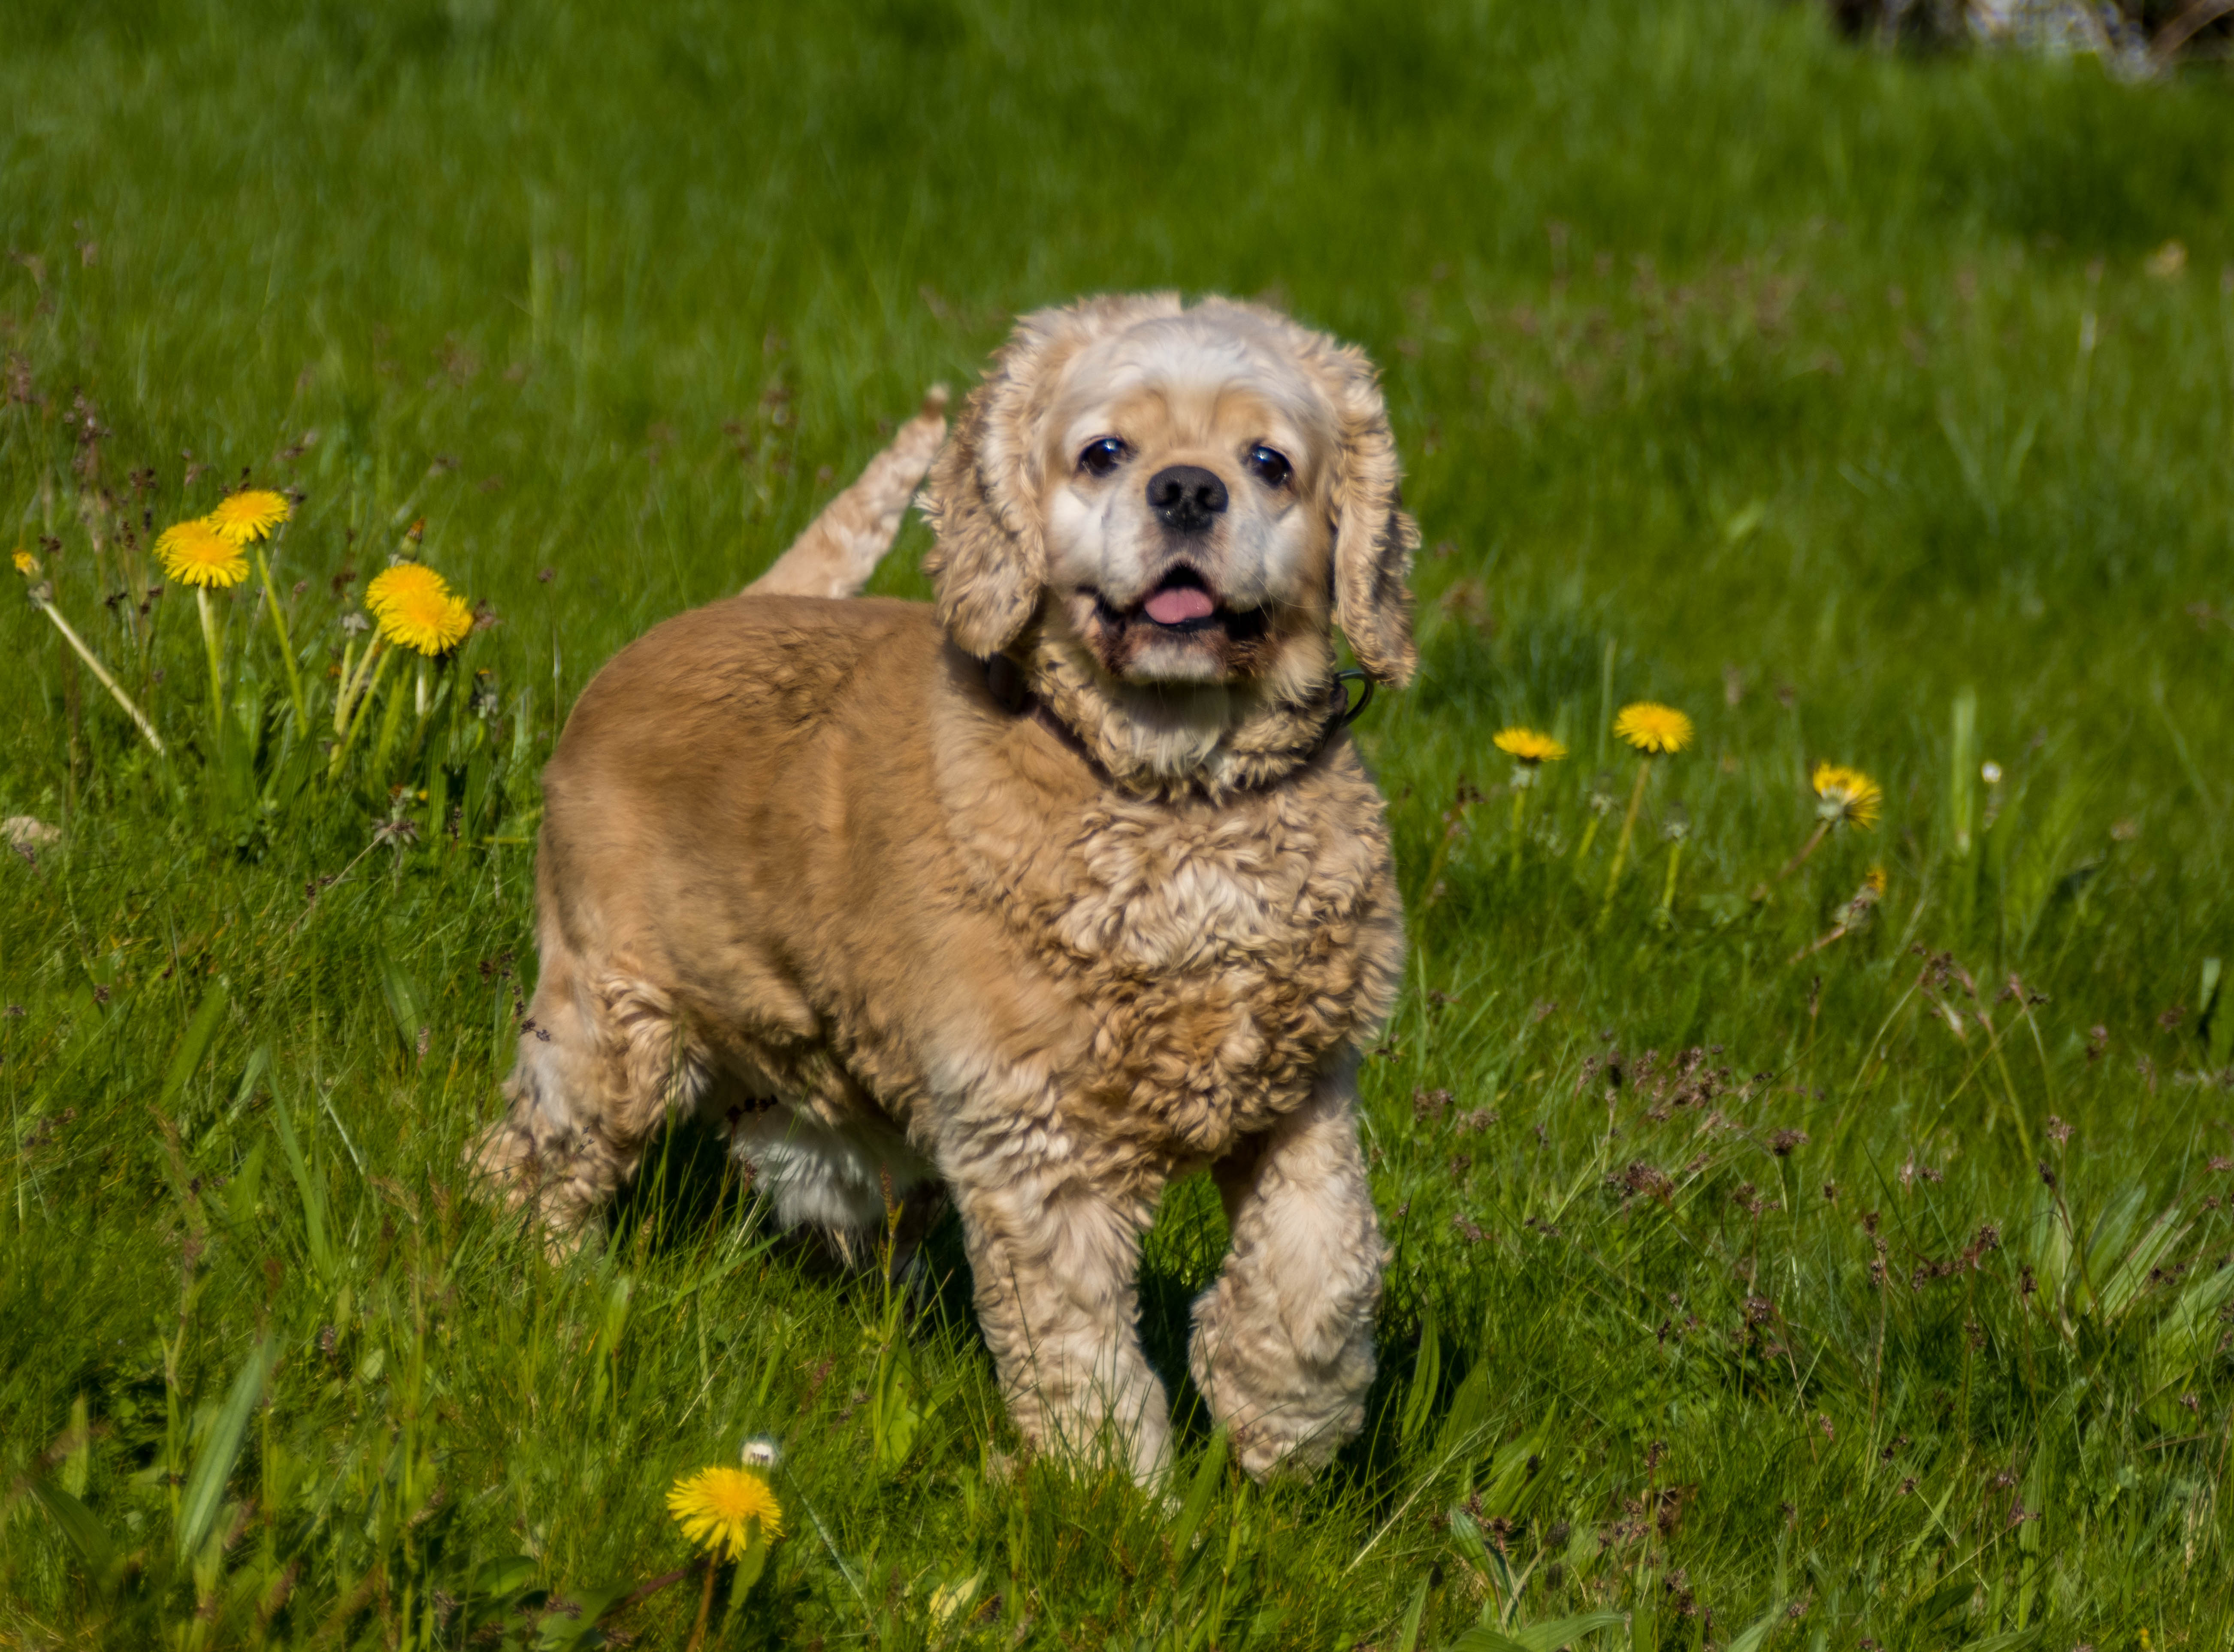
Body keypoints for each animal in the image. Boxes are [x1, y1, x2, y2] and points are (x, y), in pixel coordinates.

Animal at [480, 294, 1421, 1482]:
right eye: (1103, 452)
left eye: (1268, 462)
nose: (1186, 490)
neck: (1176, 796)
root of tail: (712, 611)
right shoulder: (1035, 1139)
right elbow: (1075, 1342)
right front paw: (1110, 1489)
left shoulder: (1304, 1086)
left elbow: (1320, 1265)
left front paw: (1285, 1423)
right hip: (616, 1018)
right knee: (533, 1154)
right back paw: (547, 1275)